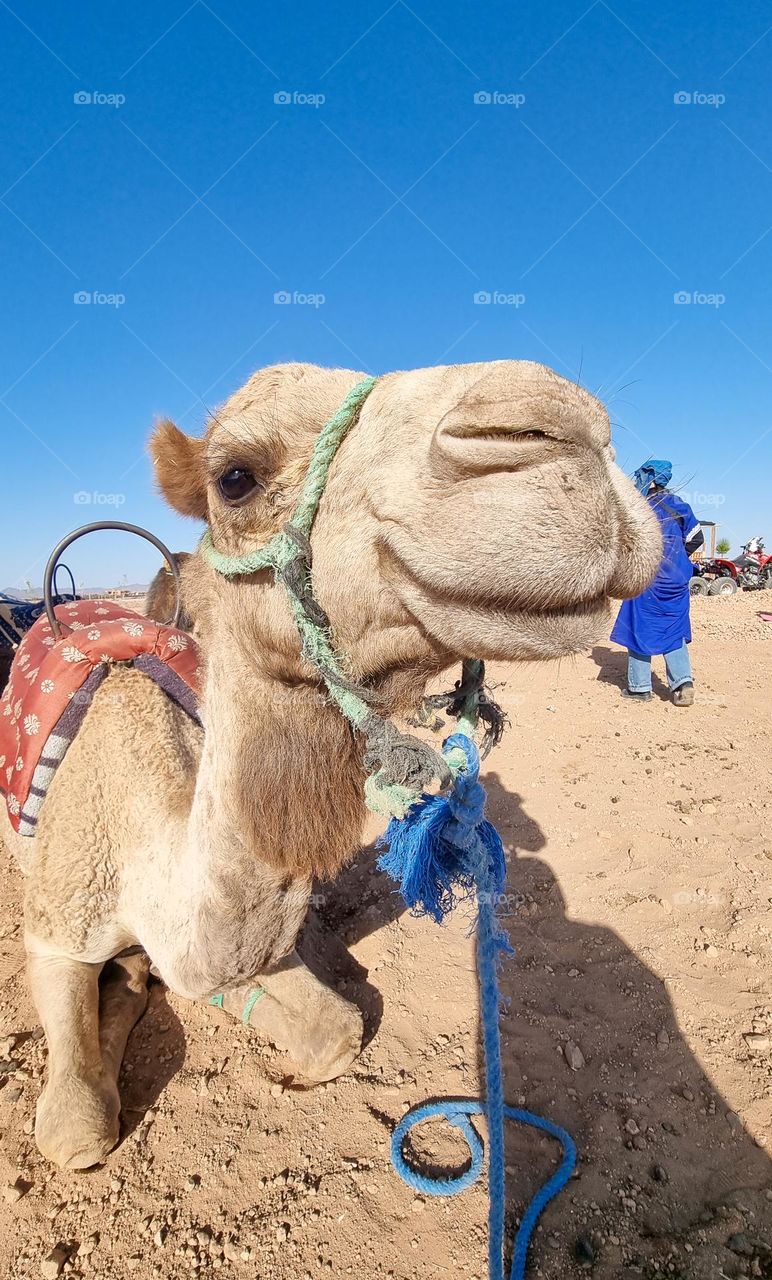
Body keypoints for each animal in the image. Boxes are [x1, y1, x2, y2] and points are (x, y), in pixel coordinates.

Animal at [0, 359, 661, 1170]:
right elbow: (77, 1131)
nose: (564, 425)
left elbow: (334, 1028)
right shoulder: (54, 926)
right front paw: (126, 988)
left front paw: (143, 981)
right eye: (236, 478)